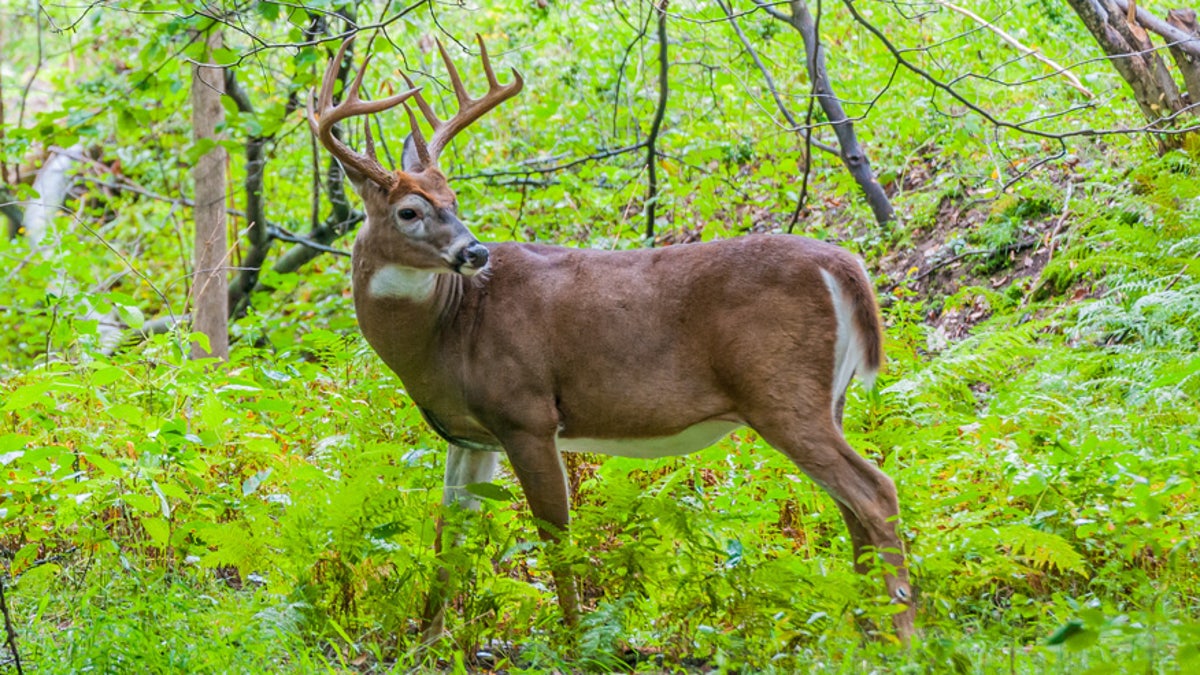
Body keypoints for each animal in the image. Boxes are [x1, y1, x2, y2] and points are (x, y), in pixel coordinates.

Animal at [307, 34, 907, 638]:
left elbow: (555, 537)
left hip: (782, 392)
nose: (475, 252)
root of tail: (845, 266)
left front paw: (575, 639)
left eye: (453, 201)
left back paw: (901, 636)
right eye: (411, 210)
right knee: (851, 508)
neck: (444, 334)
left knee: (876, 492)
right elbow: (448, 535)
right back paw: (868, 633)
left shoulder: (526, 413)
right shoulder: (470, 436)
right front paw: (425, 643)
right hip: (828, 397)